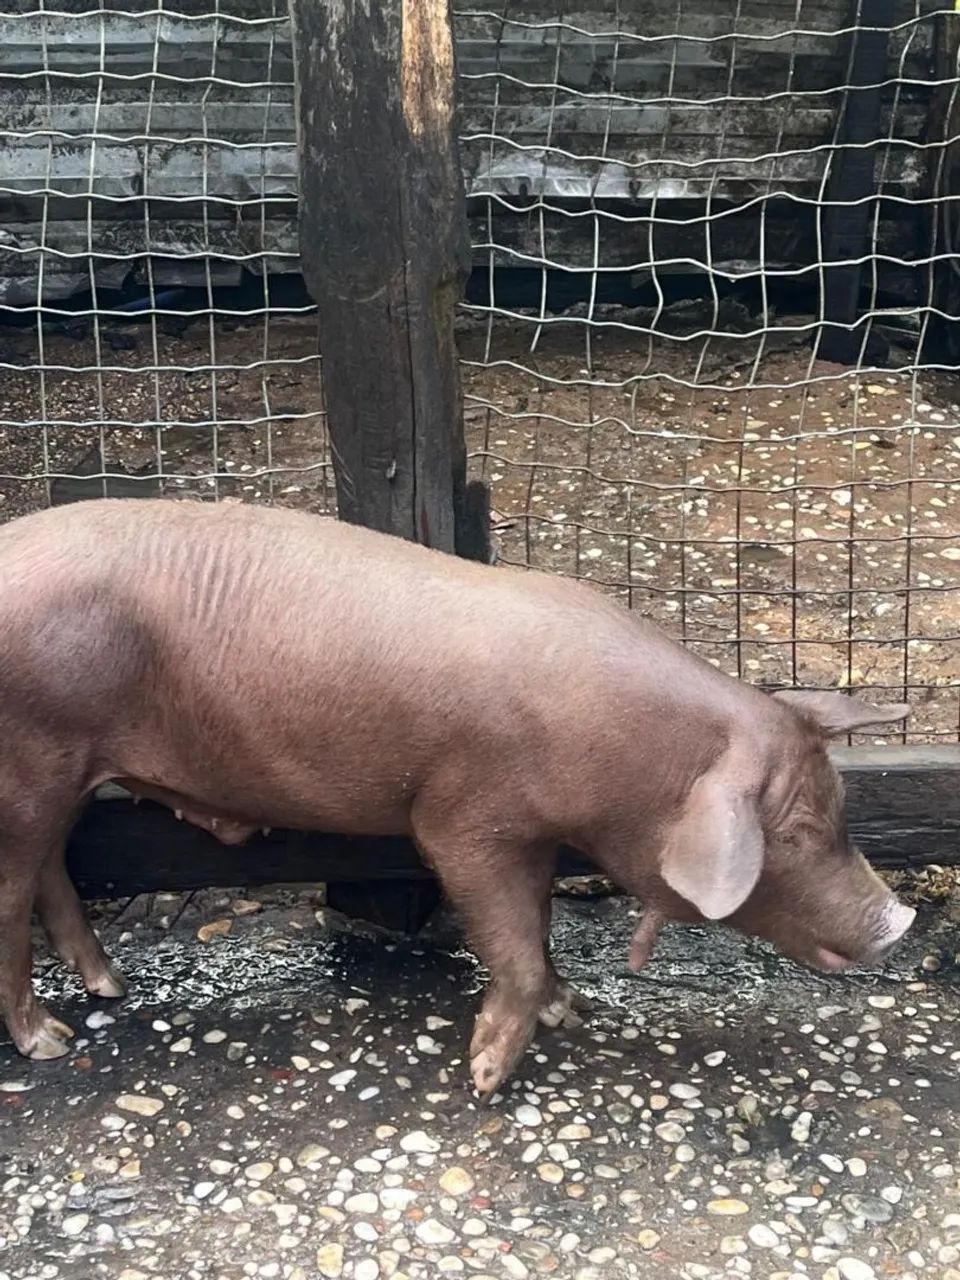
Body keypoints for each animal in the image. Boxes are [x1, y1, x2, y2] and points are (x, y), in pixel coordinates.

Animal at [0, 498, 915, 1094]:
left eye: (839, 807)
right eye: (795, 832)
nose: (900, 918)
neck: (624, 757)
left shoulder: (537, 833)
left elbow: (538, 926)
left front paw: (568, 1009)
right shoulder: (462, 821)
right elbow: (511, 942)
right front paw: (486, 1077)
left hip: (62, 767)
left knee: (51, 871)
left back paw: (110, 987)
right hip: (31, 754)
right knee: (13, 890)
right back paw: (48, 1042)